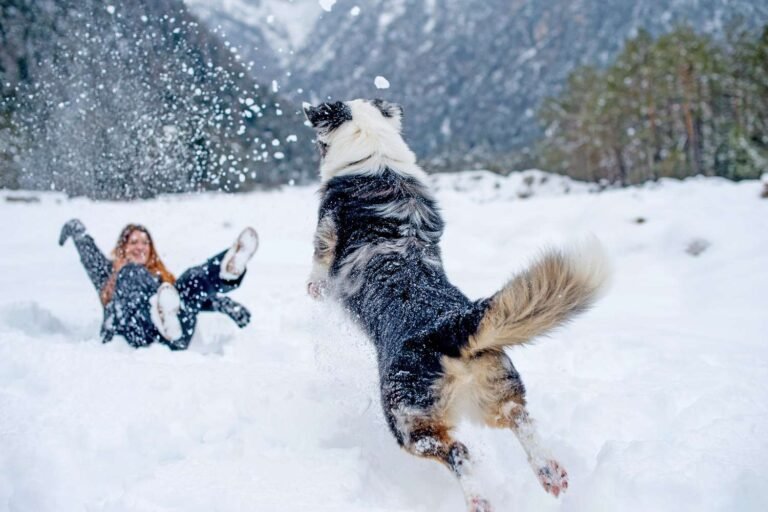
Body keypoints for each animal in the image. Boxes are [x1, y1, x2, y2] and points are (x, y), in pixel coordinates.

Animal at [304, 98, 608, 510]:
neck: (376, 157)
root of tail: (448, 329)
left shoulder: (325, 237)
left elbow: (317, 268)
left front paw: (312, 289)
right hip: (496, 387)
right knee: (519, 417)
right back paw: (550, 473)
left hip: (408, 420)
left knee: (458, 452)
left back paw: (479, 499)